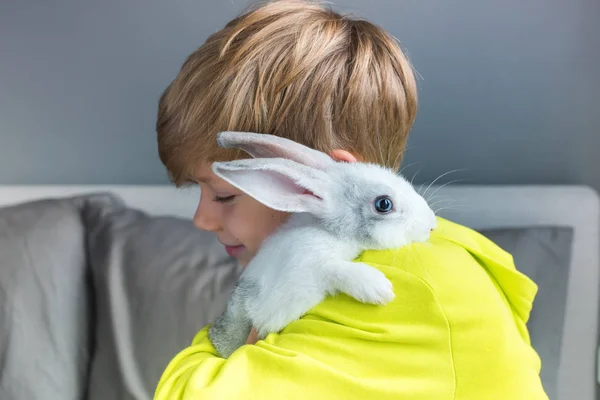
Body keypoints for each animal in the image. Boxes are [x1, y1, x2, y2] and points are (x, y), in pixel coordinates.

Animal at [206, 132, 436, 360]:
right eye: (384, 204)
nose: (432, 224)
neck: (333, 232)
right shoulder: (303, 269)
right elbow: (333, 269)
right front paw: (378, 288)